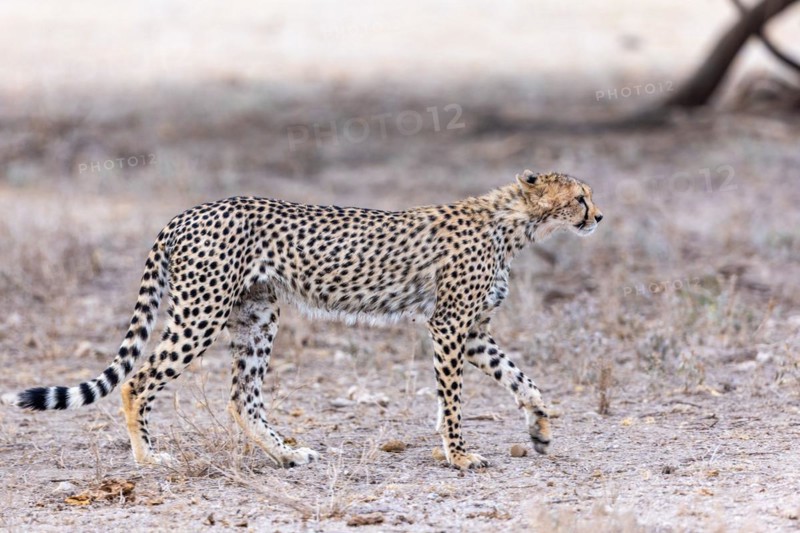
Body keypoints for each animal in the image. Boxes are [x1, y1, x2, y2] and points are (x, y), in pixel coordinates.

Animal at [3, 169, 603, 470]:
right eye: (580, 197)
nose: (598, 216)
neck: (514, 222)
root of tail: (188, 211)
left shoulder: (473, 332)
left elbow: (522, 378)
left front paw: (540, 427)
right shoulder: (450, 326)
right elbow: (454, 401)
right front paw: (458, 455)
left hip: (257, 314)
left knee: (241, 397)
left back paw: (287, 452)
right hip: (200, 313)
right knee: (138, 380)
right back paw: (148, 457)